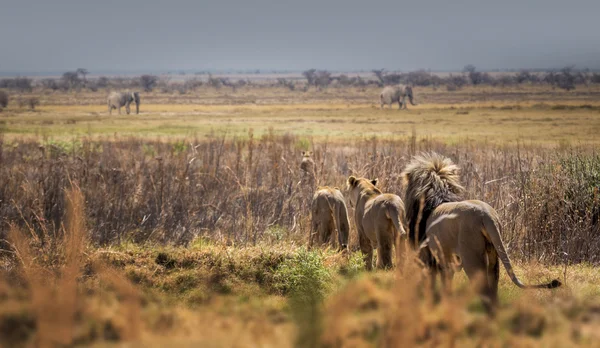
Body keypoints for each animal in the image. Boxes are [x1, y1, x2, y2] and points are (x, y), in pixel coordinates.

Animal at [400, 152, 560, 310]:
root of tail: (486, 215)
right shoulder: (445, 261)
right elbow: (446, 283)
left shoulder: (428, 256)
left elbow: (432, 281)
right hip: (494, 255)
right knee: (493, 291)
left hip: (471, 258)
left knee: (485, 292)